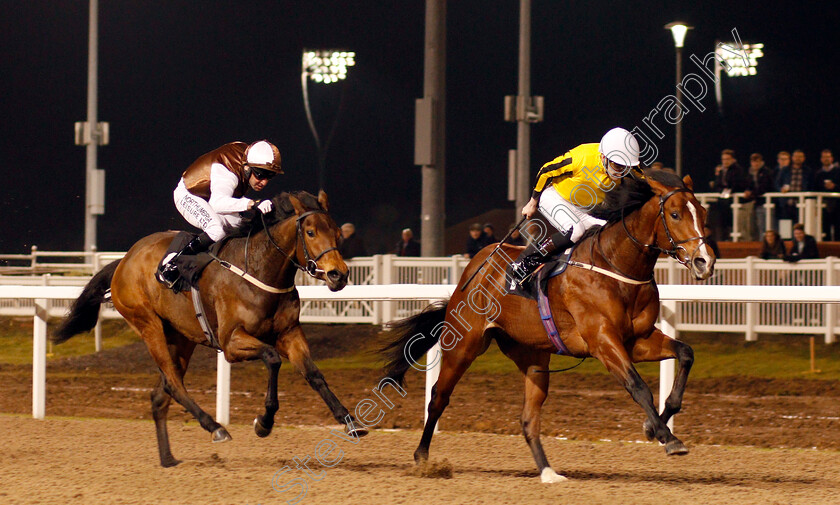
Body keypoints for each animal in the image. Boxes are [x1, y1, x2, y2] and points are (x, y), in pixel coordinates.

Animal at [53, 191, 368, 466]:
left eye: (337, 232)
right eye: (311, 232)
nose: (339, 275)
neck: (259, 269)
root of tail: (123, 261)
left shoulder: (289, 333)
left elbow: (313, 374)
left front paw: (350, 421)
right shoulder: (231, 342)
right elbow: (272, 358)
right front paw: (264, 423)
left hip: (181, 338)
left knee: (160, 394)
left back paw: (168, 459)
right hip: (148, 325)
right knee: (173, 384)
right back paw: (215, 426)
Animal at [380, 169, 716, 480]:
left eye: (703, 213)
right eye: (675, 214)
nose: (705, 262)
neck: (616, 265)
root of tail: (476, 265)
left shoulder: (638, 339)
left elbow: (685, 353)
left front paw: (654, 423)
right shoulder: (603, 341)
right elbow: (638, 386)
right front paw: (667, 437)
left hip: (533, 357)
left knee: (528, 418)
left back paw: (548, 472)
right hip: (464, 343)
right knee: (439, 397)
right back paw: (422, 458)